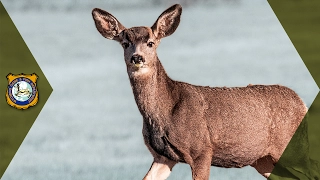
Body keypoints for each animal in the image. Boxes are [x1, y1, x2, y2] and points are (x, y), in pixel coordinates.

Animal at [92, 4, 308, 180]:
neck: (165, 111)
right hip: (263, 160)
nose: (137, 58)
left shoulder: (201, 150)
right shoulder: (162, 156)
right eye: (125, 43)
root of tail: (302, 103)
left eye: (151, 43)